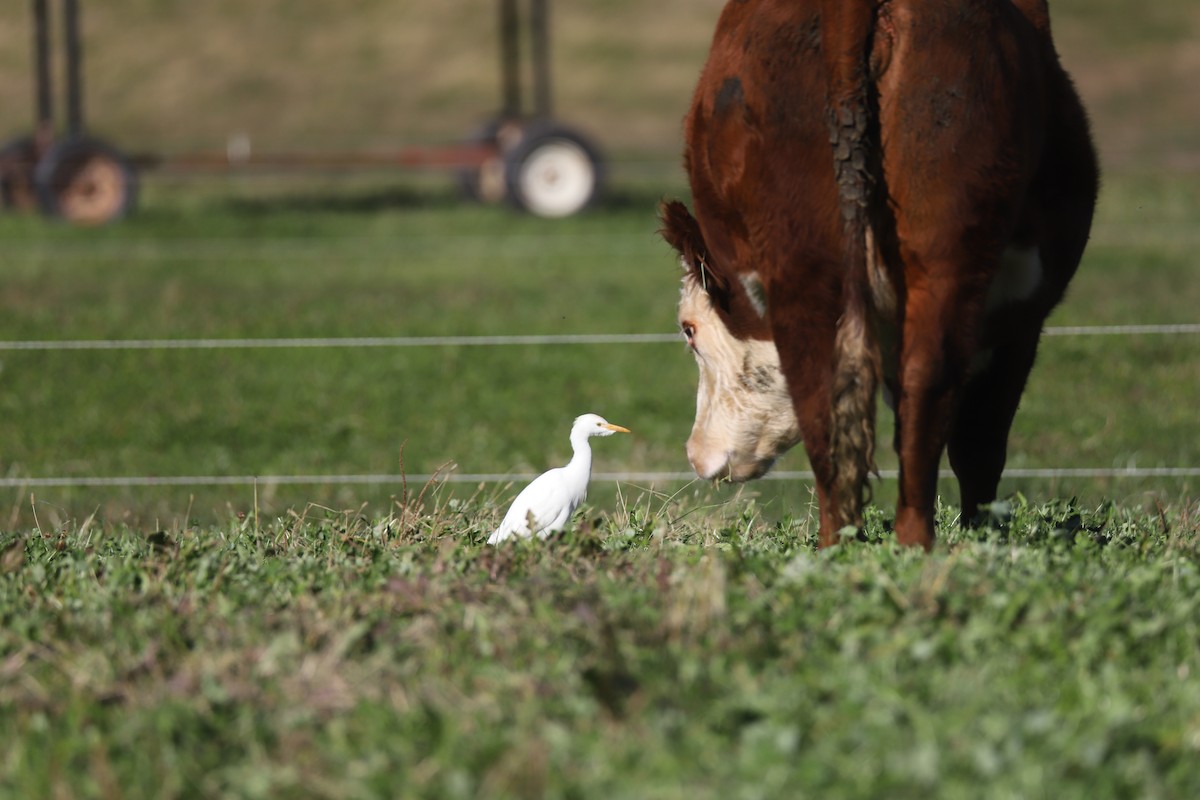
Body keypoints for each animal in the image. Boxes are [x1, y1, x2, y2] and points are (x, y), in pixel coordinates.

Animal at [661, 0, 1098, 550]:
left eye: (689, 329)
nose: (695, 454)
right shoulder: (1019, 318)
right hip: (936, 258)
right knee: (917, 392)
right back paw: (904, 544)